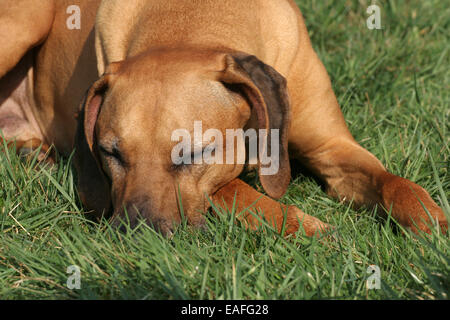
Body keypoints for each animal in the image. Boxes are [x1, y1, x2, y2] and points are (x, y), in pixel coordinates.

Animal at [0, 0, 446, 238]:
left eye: (193, 153)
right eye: (111, 153)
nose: (138, 235)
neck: (189, 21)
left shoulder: (332, 147)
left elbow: (396, 183)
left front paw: (433, 227)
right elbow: (244, 193)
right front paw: (314, 231)